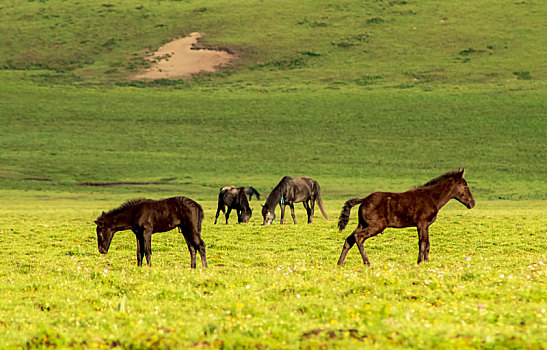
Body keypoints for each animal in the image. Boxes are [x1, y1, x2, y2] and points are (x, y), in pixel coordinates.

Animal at [336, 170, 474, 266]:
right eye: (465, 186)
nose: (472, 203)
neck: (431, 197)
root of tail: (364, 199)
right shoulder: (421, 223)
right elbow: (422, 242)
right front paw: (419, 262)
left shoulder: (426, 225)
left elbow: (427, 243)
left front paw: (427, 262)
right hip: (376, 226)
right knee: (358, 237)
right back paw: (367, 263)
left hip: (362, 224)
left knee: (349, 239)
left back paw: (340, 263)